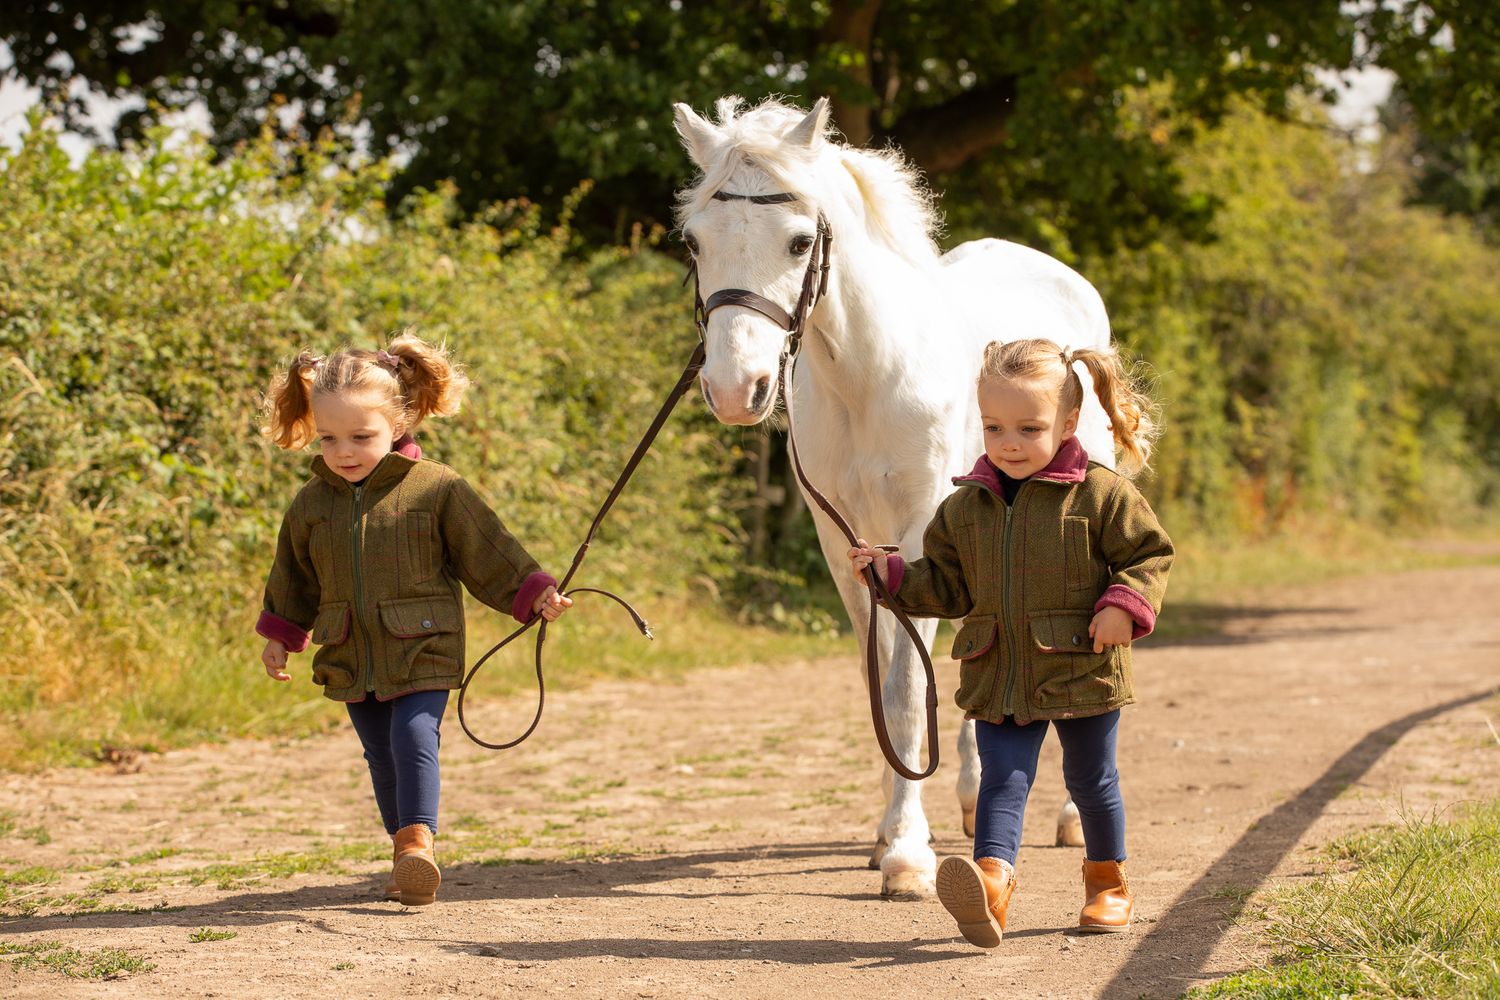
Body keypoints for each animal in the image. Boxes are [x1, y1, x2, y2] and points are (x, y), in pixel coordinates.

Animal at [672, 95, 1112, 898]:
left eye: (798, 242)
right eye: (694, 241)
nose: (734, 388)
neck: (869, 376)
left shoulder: (915, 532)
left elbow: (908, 686)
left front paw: (908, 856)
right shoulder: (845, 546)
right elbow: (878, 672)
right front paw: (887, 834)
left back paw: (1067, 817)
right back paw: (971, 798)